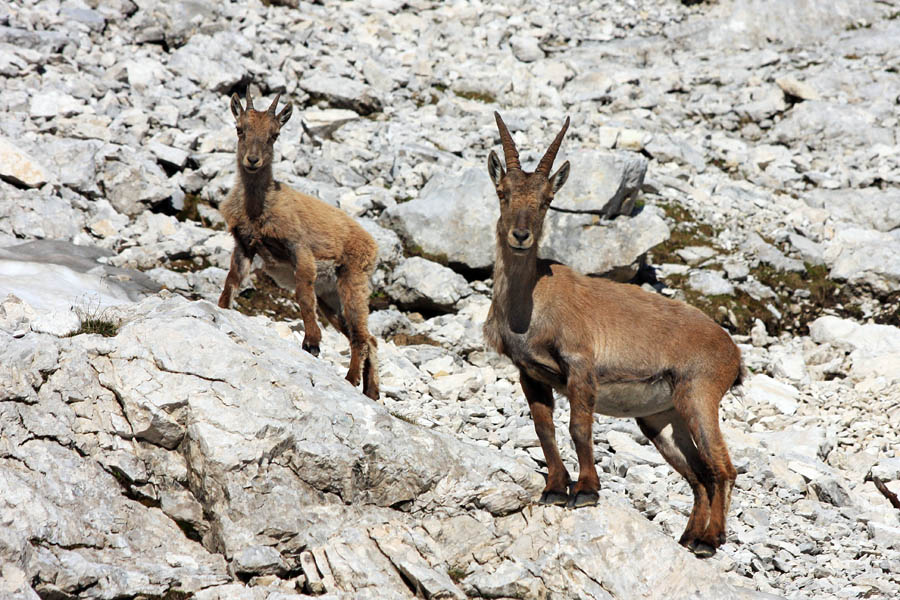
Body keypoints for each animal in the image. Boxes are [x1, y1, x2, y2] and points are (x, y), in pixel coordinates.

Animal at [217, 90, 379, 400]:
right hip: (330, 297)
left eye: (274, 135)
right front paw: (221, 309)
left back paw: (352, 378)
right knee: (370, 337)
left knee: (361, 336)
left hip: (352, 281)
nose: (252, 160)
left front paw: (312, 342)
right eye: (240, 129)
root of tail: (373, 246)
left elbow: (303, 295)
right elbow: (232, 281)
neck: (258, 207)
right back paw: (372, 391)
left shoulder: (299, 248)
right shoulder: (244, 245)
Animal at [482, 112, 742, 557]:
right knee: (698, 475)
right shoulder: (530, 373)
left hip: (700, 394)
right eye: (503, 193)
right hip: (661, 418)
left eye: (546, 201)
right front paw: (555, 489)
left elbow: (578, 428)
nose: (520, 236)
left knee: (722, 467)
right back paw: (690, 537)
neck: (530, 302)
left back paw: (711, 540)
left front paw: (586, 491)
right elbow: (544, 429)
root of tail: (733, 352)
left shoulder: (580, 365)